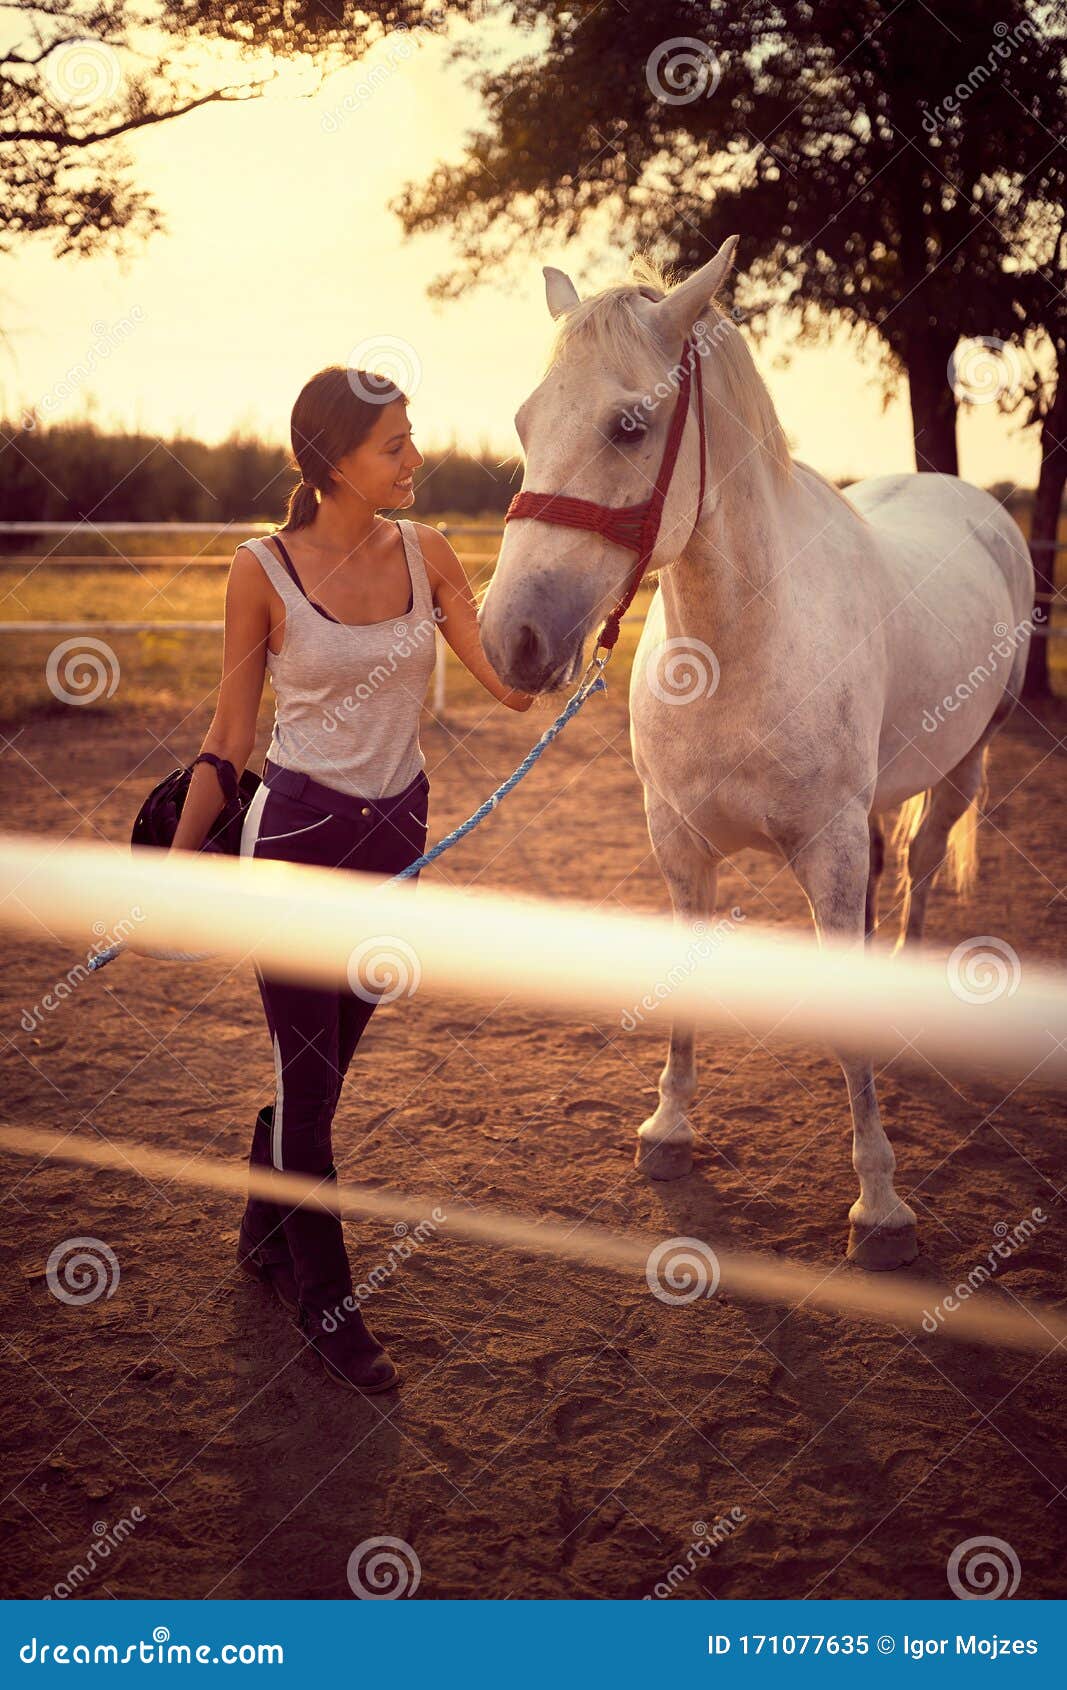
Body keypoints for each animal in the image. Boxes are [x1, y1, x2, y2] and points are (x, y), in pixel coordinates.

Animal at [483, 238, 1034, 1270]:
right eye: (526, 422)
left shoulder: (825, 846)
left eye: (629, 425)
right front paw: (668, 1130)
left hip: (957, 773)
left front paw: (879, 1207)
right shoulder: (678, 844)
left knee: (919, 865)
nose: (511, 641)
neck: (734, 645)